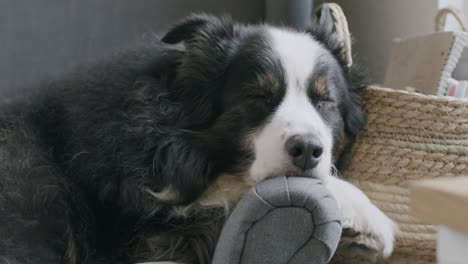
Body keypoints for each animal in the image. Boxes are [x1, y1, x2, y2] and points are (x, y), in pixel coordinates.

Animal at [0, 7, 394, 262]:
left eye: (325, 101)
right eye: (257, 97)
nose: (308, 150)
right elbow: (234, 185)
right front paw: (373, 220)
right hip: (35, 184)